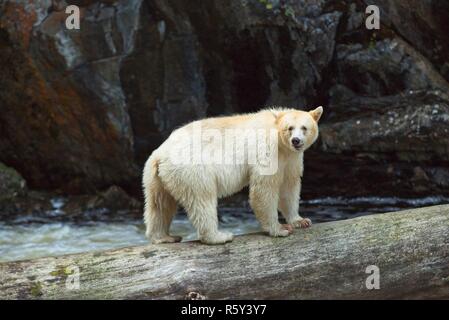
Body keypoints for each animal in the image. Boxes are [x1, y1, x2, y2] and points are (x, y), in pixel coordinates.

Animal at [144, 106, 322, 244]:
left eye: (304, 128)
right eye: (290, 128)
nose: (296, 140)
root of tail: (160, 153)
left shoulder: (291, 159)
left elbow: (289, 187)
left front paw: (301, 221)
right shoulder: (268, 149)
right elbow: (264, 189)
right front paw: (280, 229)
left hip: (157, 177)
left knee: (159, 204)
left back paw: (164, 237)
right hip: (191, 168)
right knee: (202, 199)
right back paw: (219, 236)